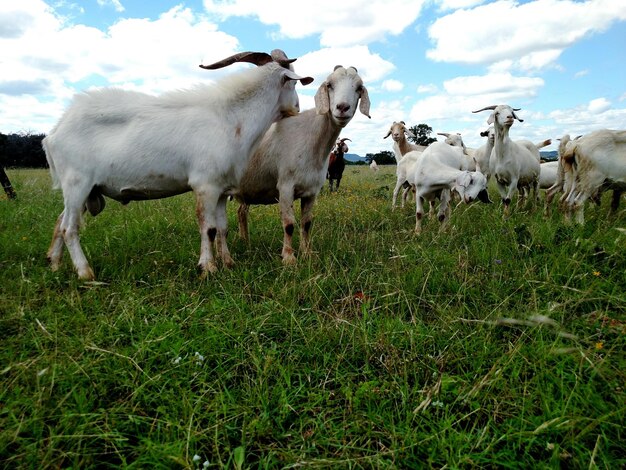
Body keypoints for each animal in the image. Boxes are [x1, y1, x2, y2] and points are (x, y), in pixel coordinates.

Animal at [42, 49, 312, 280]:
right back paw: (85, 273)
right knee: (69, 228)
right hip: (77, 183)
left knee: (59, 221)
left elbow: (223, 228)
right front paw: (207, 268)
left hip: (83, 190)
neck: (231, 118)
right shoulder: (205, 185)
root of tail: (53, 134)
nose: (297, 108)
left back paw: (54, 264)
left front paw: (228, 263)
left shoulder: (221, 189)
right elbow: (208, 227)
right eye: (293, 82)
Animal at [234, 64, 370, 266]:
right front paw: (289, 258)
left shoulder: (312, 191)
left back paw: (245, 241)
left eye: (359, 88)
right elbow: (289, 223)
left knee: (241, 212)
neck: (310, 137)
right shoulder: (285, 187)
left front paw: (307, 253)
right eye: (329, 84)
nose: (342, 107)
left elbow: (306, 223)